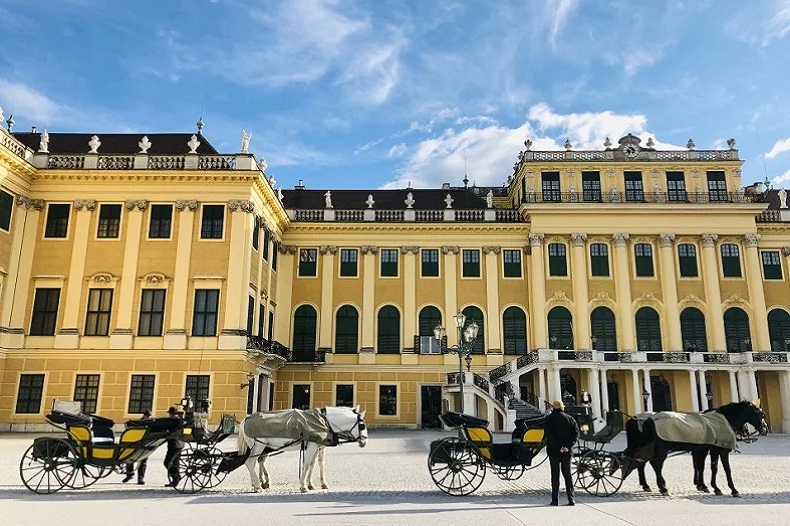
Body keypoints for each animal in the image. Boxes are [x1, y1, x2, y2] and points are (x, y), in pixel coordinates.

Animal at [237, 408, 370, 496]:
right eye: (362, 425)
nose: (364, 441)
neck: (323, 422)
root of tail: (247, 418)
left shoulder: (317, 446)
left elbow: (314, 464)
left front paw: (313, 484)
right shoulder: (312, 446)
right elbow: (306, 465)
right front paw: (304, 486)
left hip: (263, 447)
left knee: (256, 462)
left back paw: (257, 484)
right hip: (259, 446)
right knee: (250, 462)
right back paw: (258, 486)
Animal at [624, 404, 768, 500]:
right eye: (761, 415)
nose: (765, 429)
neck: (724, 420)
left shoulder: (708, 449)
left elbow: (709, 467)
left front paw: (710, 487)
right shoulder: (721, 450)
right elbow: (726, 469)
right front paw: (733, 490)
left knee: (641, 463)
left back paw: (647, 485)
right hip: (661, 448)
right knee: (656, 465)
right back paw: (663, 487)